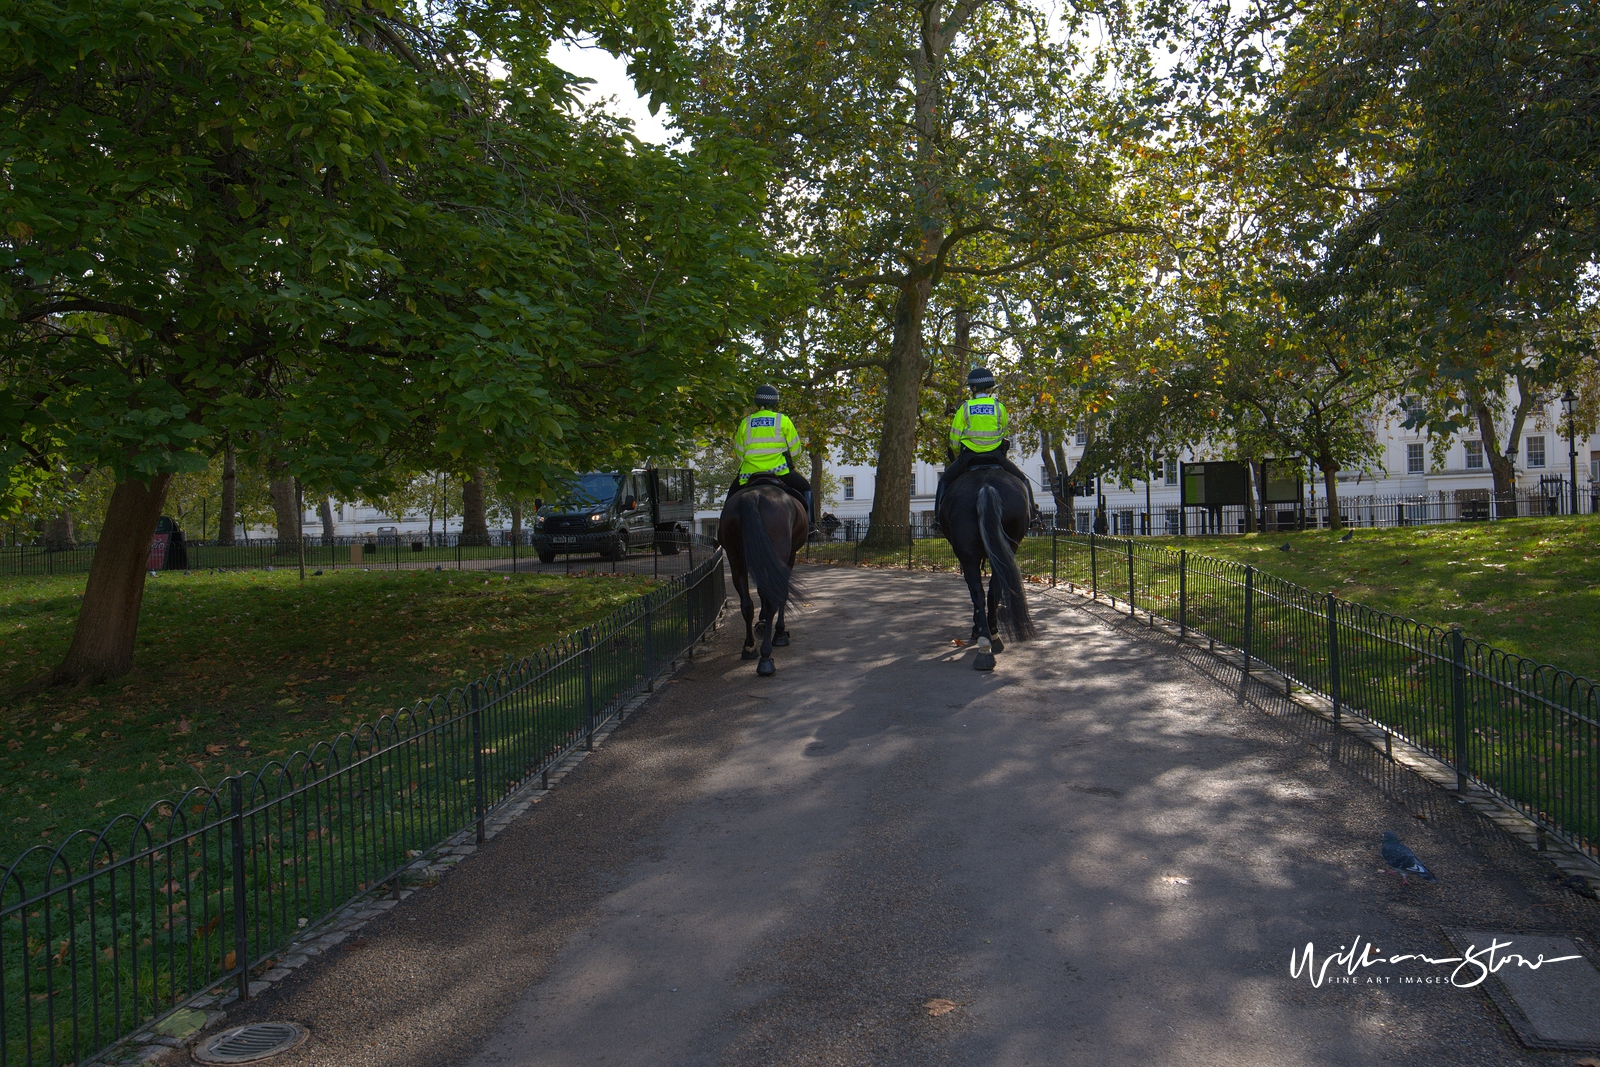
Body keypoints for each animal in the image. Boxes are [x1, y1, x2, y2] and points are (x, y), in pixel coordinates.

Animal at [716, 483, 806, 675]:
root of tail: (753, 494)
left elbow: (761, 590)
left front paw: (762, 621)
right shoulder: (790, 556)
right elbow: (780, 593)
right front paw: (779, 631)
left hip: (736, 559)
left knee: (746, 604)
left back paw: (749, 647)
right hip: (779, 551)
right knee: (773, 599)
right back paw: (766, 657)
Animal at [934, 463, 1036, 668]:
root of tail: (985, 486)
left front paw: (977, 630)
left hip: (968, 556)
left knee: (978, 593)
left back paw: (984, 643)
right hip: (1008, 546)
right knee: (994, 589)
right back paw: (993, 638)